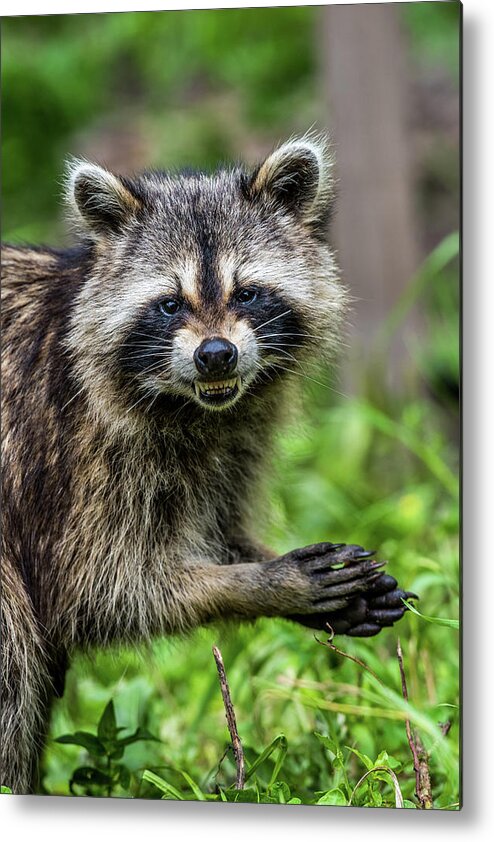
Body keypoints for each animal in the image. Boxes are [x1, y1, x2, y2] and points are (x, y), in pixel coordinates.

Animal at [1, 135, 414, 792]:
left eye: (247, 292)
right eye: (170, 304)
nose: (215, 355)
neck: (194, 408)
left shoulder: (233, 443)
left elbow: (217, 527)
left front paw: (265, 565)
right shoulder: (72, 450)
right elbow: (95, 590)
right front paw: (263, 584)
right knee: (14, 646)